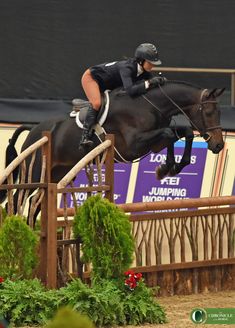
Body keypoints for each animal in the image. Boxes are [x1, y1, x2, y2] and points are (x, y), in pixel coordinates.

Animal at [0, 80, 225, 204]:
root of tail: (34, 130)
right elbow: (170, 133)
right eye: (209, 112)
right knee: (18, 198)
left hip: (57, 174)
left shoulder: (154, 139)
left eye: (218, 112)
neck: (150, 105)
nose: (219, 145)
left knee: (36, 202)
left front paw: (172, 167)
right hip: (35, 172)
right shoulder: (134, 145)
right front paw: (165, 168)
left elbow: (182, 132)